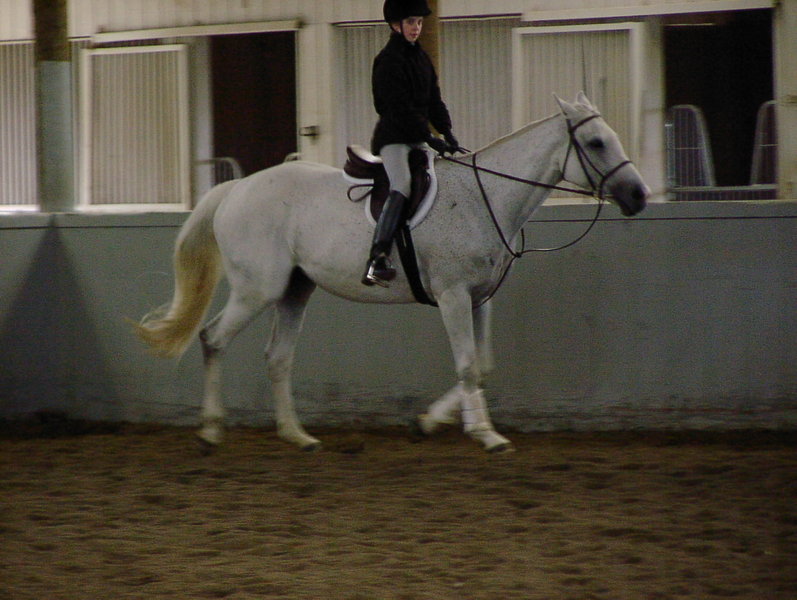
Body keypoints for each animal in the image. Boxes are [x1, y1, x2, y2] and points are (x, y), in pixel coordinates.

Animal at [135, 92, 649, 453]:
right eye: (596, 142)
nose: (639, 196)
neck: (487, 197)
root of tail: (238, 187)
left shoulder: (480, 298)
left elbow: (481, 365)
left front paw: (428, 423)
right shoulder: (453, 296)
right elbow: (467, 363)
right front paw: (485, 434)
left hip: (295, 290)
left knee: (278, 358)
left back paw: (297, 436)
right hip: (256, 289)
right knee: (213, 339)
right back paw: (210, 433)